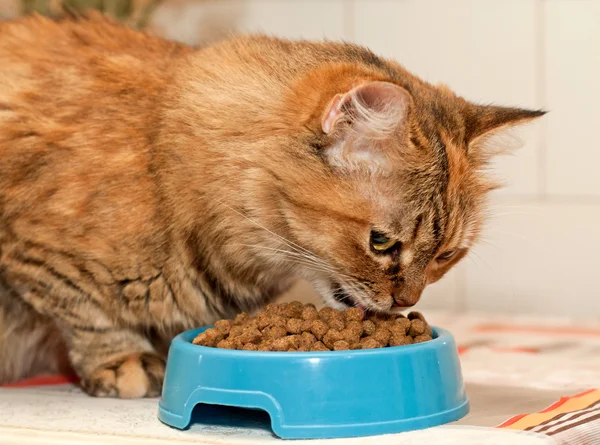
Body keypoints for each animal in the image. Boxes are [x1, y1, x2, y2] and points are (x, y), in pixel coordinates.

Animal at [0, 13, 544, 396]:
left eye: (446, 255)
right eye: (381, 242)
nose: (406, 304)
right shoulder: (34, 254)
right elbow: (88, 313)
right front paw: (124, 362)